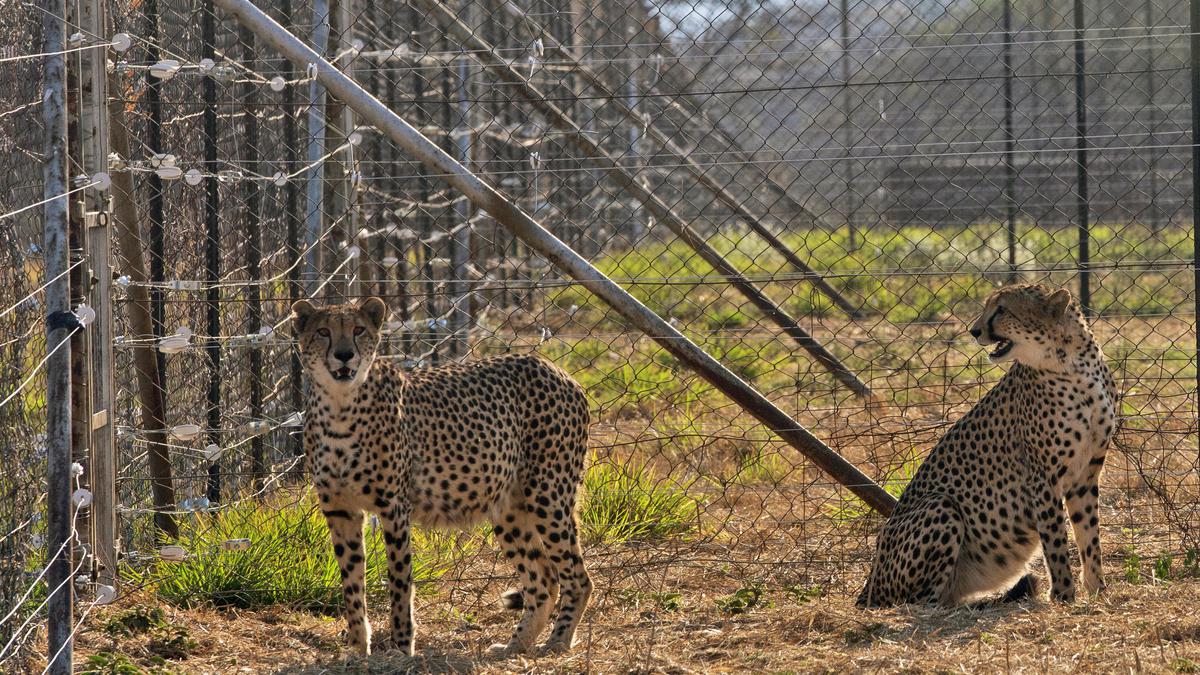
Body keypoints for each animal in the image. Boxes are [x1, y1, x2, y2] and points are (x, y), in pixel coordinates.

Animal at [290, 296, 590, 653]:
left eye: (358, 330)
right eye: (323, 331)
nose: (345, 354)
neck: (340, 404)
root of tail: (553, 368)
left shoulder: (394, 507)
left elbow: (400, 581)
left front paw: (402, 646)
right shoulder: (340, 510)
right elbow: (351, 583)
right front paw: (359, 650)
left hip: (547, 495)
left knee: (577, 577)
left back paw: (558, 642)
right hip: (509, 508)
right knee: (543, 578)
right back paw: (514, 647)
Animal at [859, 283, 1118, 605]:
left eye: (1002, 309)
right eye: (988, 307)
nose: (974, 331)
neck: (1073, 363)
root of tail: (868, 584)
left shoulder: (1085, 474)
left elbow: (1088, 534)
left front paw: (1098, 590)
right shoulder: (1042, 477)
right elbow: (1056, 540)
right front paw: (1063, 595)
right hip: (940, 505)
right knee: (922, 600)